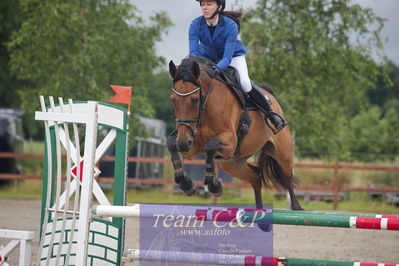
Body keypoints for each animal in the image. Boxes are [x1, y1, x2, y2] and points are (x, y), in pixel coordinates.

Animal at [166, 56, 304, 214]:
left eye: (194, 100)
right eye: (172, 100)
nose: (183, 143)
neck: (206, 106)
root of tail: (272, 98)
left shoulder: (230, 142)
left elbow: (210, 144)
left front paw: (215, 186)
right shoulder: (192, 144)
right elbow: (171, 143)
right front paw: (187, 184)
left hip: (282, 152)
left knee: (286, 177)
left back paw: (296, 207)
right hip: (233, 164)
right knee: (255, 177)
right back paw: (259, 212)